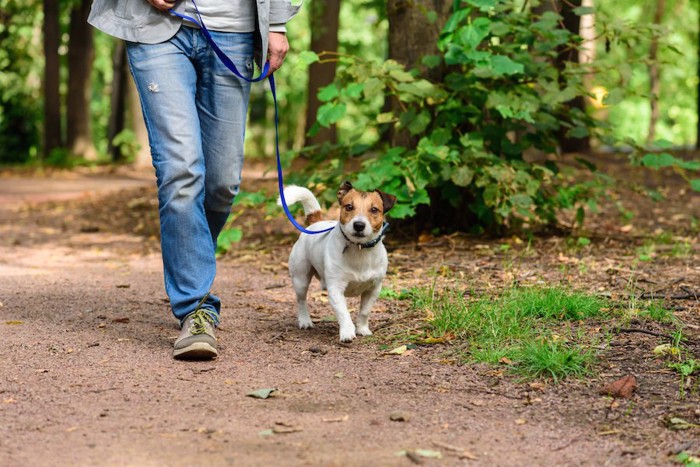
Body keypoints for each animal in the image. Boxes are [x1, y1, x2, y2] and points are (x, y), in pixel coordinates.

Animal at [280, 181, 400, 342]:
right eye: (349, 207)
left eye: (374, 210)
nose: (359, 225)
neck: (359, 249)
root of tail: (316, 222)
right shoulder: (336, 289)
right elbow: (344, 313)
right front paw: (347, 333)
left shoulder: (373, 289)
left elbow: (364, 312)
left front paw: (362, 329)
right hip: (301, 279)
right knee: (301, 301)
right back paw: (305, 321)